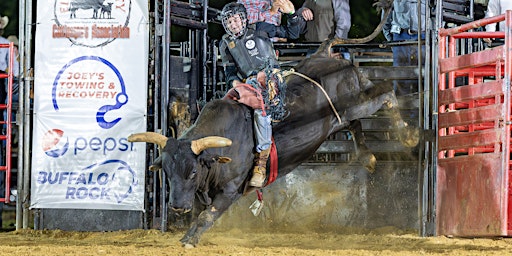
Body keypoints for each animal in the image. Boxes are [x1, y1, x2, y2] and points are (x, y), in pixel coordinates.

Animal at [128, 42, 420, 248]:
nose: (177, 206)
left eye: (191, 172)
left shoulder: (230, 190)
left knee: (386, 93)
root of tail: (324, 54)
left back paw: (409, 136)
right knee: (355, 123)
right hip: (344, 113)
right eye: (167, 173)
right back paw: (368, 158)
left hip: (359, 100)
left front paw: (189, 241)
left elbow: (208, 215)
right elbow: (202, 213)